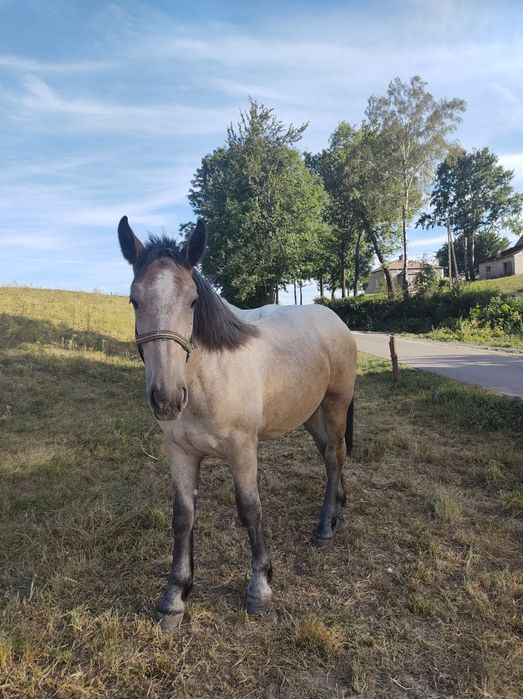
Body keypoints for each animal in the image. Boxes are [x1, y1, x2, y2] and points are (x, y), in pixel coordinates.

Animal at [117, 216, 358, 632]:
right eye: (134, 300)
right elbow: (182, 517)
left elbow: (250, 509)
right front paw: (174, 598)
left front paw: (260, 587)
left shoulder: (242, 449)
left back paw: (326, 526)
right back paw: (337, 507)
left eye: (193, 301)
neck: (207, 379)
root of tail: (335, 319)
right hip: (310, 413)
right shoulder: (179, 453)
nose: (167, 399)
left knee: (334, 457)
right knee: (331, 452)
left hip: (335, 404)